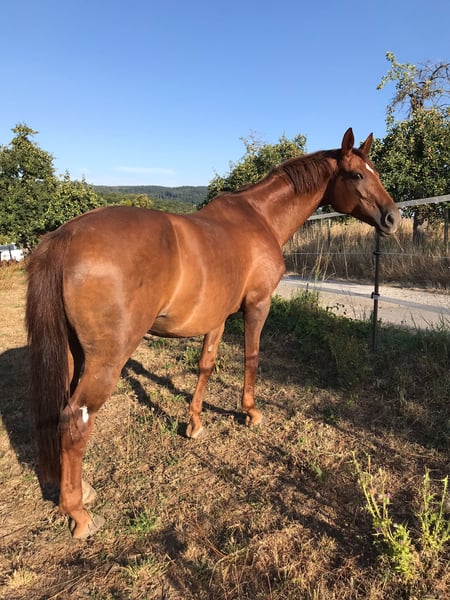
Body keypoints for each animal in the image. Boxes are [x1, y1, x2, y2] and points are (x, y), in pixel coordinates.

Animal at [26, 128, 400, 538]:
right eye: (357, 175)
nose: (393, 217)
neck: (260, 219)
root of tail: (66, 235)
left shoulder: (216, 317)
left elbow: (205, 365)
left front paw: (195, 423)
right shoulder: (257, 305)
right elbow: (252, 357)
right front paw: (250, 413)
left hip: (77, 354)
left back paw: (82, 490)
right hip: (107, 360)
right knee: (75, 421)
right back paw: (79, 514)